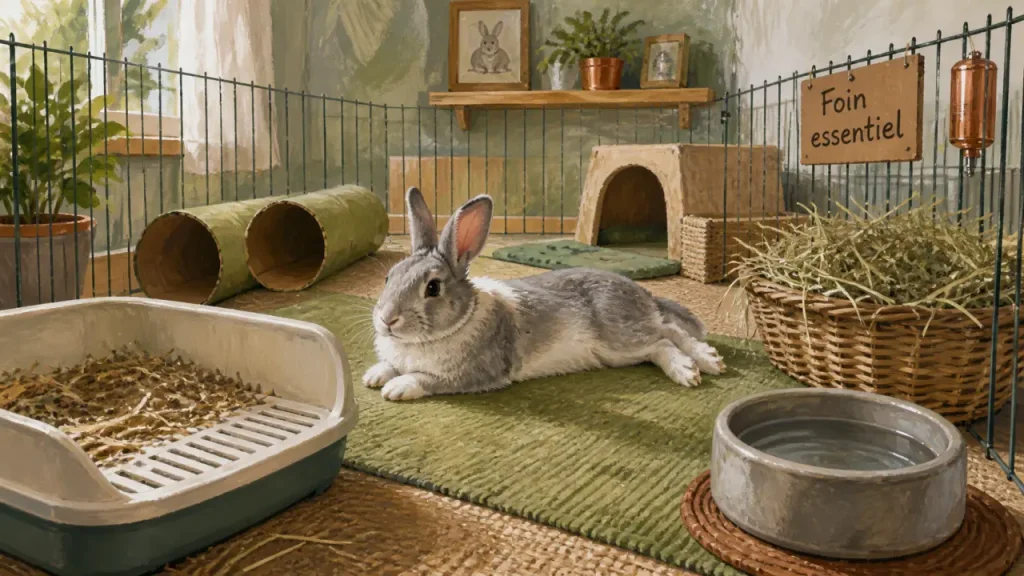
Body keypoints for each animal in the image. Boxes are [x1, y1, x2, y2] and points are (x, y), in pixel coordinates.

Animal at [361, 187, 726, 402]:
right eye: (388, 277)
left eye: (433, 288)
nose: (387, 320)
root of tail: (643, 293)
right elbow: (391, 365)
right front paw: (374, 376)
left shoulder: (476, 373)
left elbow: (426, 378)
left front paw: (397, 387)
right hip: (618, 352)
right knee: (663, 336)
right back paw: (701, 363)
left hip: (620, 337)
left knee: (665, 337)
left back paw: (696, 366)